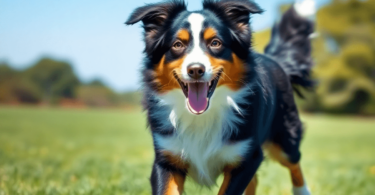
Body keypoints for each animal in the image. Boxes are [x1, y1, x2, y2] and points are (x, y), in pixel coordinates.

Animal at [125, 0, 314, 194]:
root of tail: (273, 60)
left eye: (215, 43)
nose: (195, 70)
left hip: (285, 136)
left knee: (294, 162)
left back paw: (302, 190)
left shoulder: (246, 156)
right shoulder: (167, 158)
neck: (201, 116)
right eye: (177, 44)